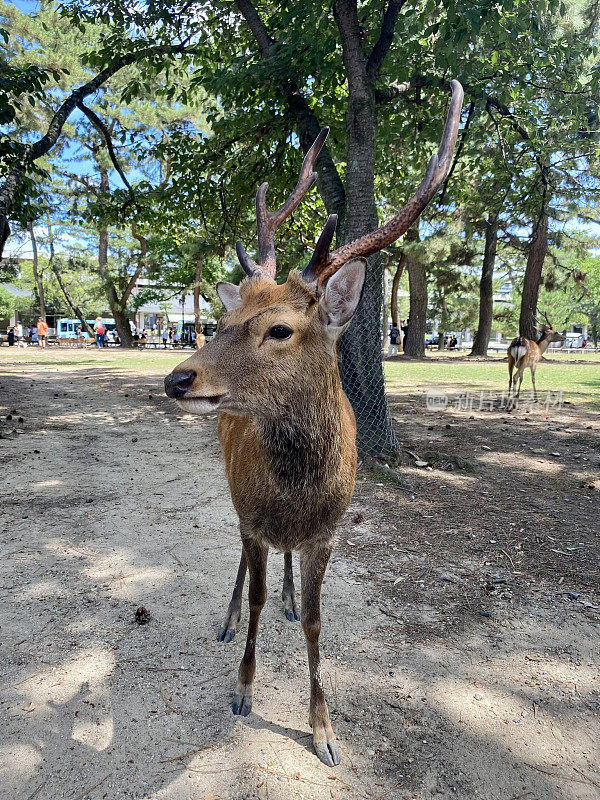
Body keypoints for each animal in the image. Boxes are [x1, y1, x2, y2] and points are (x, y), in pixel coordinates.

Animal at [164, 83, 464, 768]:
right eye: (224, 322)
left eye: (279, 329)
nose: (178, 379)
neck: (296, 500)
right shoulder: (251, 515)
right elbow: (252, 594)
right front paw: (244, 689)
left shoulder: (328, 533)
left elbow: (316, 622)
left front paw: (324, 728)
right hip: (235, 500)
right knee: (245, 566)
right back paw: (229, 617)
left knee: (285, 570)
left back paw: (288, 594)